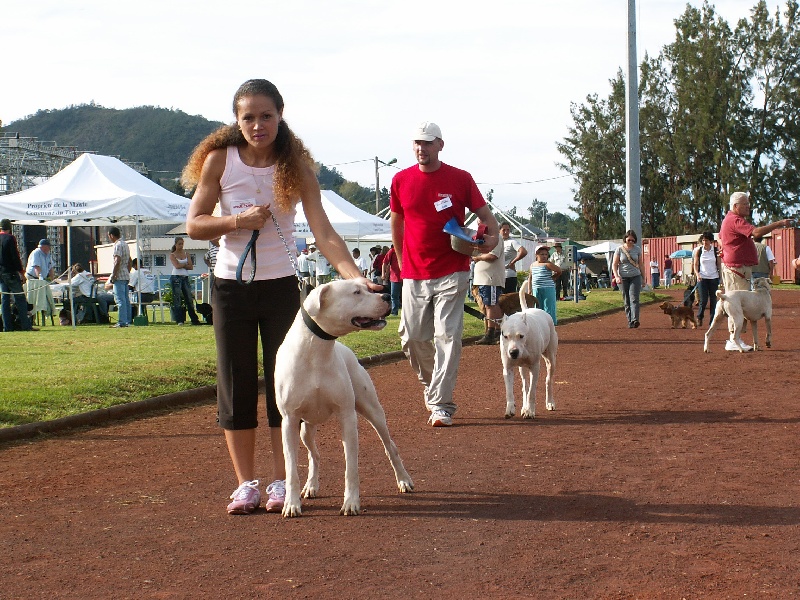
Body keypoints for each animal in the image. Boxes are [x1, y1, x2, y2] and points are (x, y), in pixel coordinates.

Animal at [276, 278, 412, 516]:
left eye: (368, 288)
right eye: (356, 292)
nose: (386, 295)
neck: (315, 351)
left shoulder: (347, 416)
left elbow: (351, 467)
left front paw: (351, 502)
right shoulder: (289, 421)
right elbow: (291, 468)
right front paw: (291, 504)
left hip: (374, 412)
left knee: (391, 447)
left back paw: (403, 480)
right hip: (305, 429)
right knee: (314, 455)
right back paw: (311, 485)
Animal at [496, 282, 560, 418]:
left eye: (521, 336)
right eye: (505, 336)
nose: (513, 352)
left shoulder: (535, 367)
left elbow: (532, 391)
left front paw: (530, 411)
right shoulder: (507, 368)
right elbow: (510, 391)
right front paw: (510, 409)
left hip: (551, 359)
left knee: (548, 380)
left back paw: (550, 402)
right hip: (522, 367)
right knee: (525, 385)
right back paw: (524, 407)